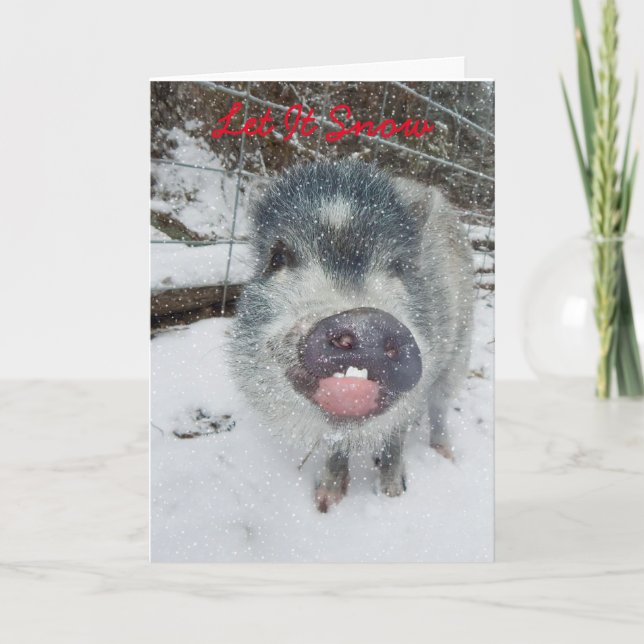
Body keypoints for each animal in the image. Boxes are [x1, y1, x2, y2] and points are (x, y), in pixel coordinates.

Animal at [229, 160, 473, 512]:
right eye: (277, 258)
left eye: (398, 266)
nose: (365, 323)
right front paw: (325, 503)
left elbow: (396, 435)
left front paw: (392, 495)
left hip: (460, 350)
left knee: (440, 405)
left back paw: (445, 455)